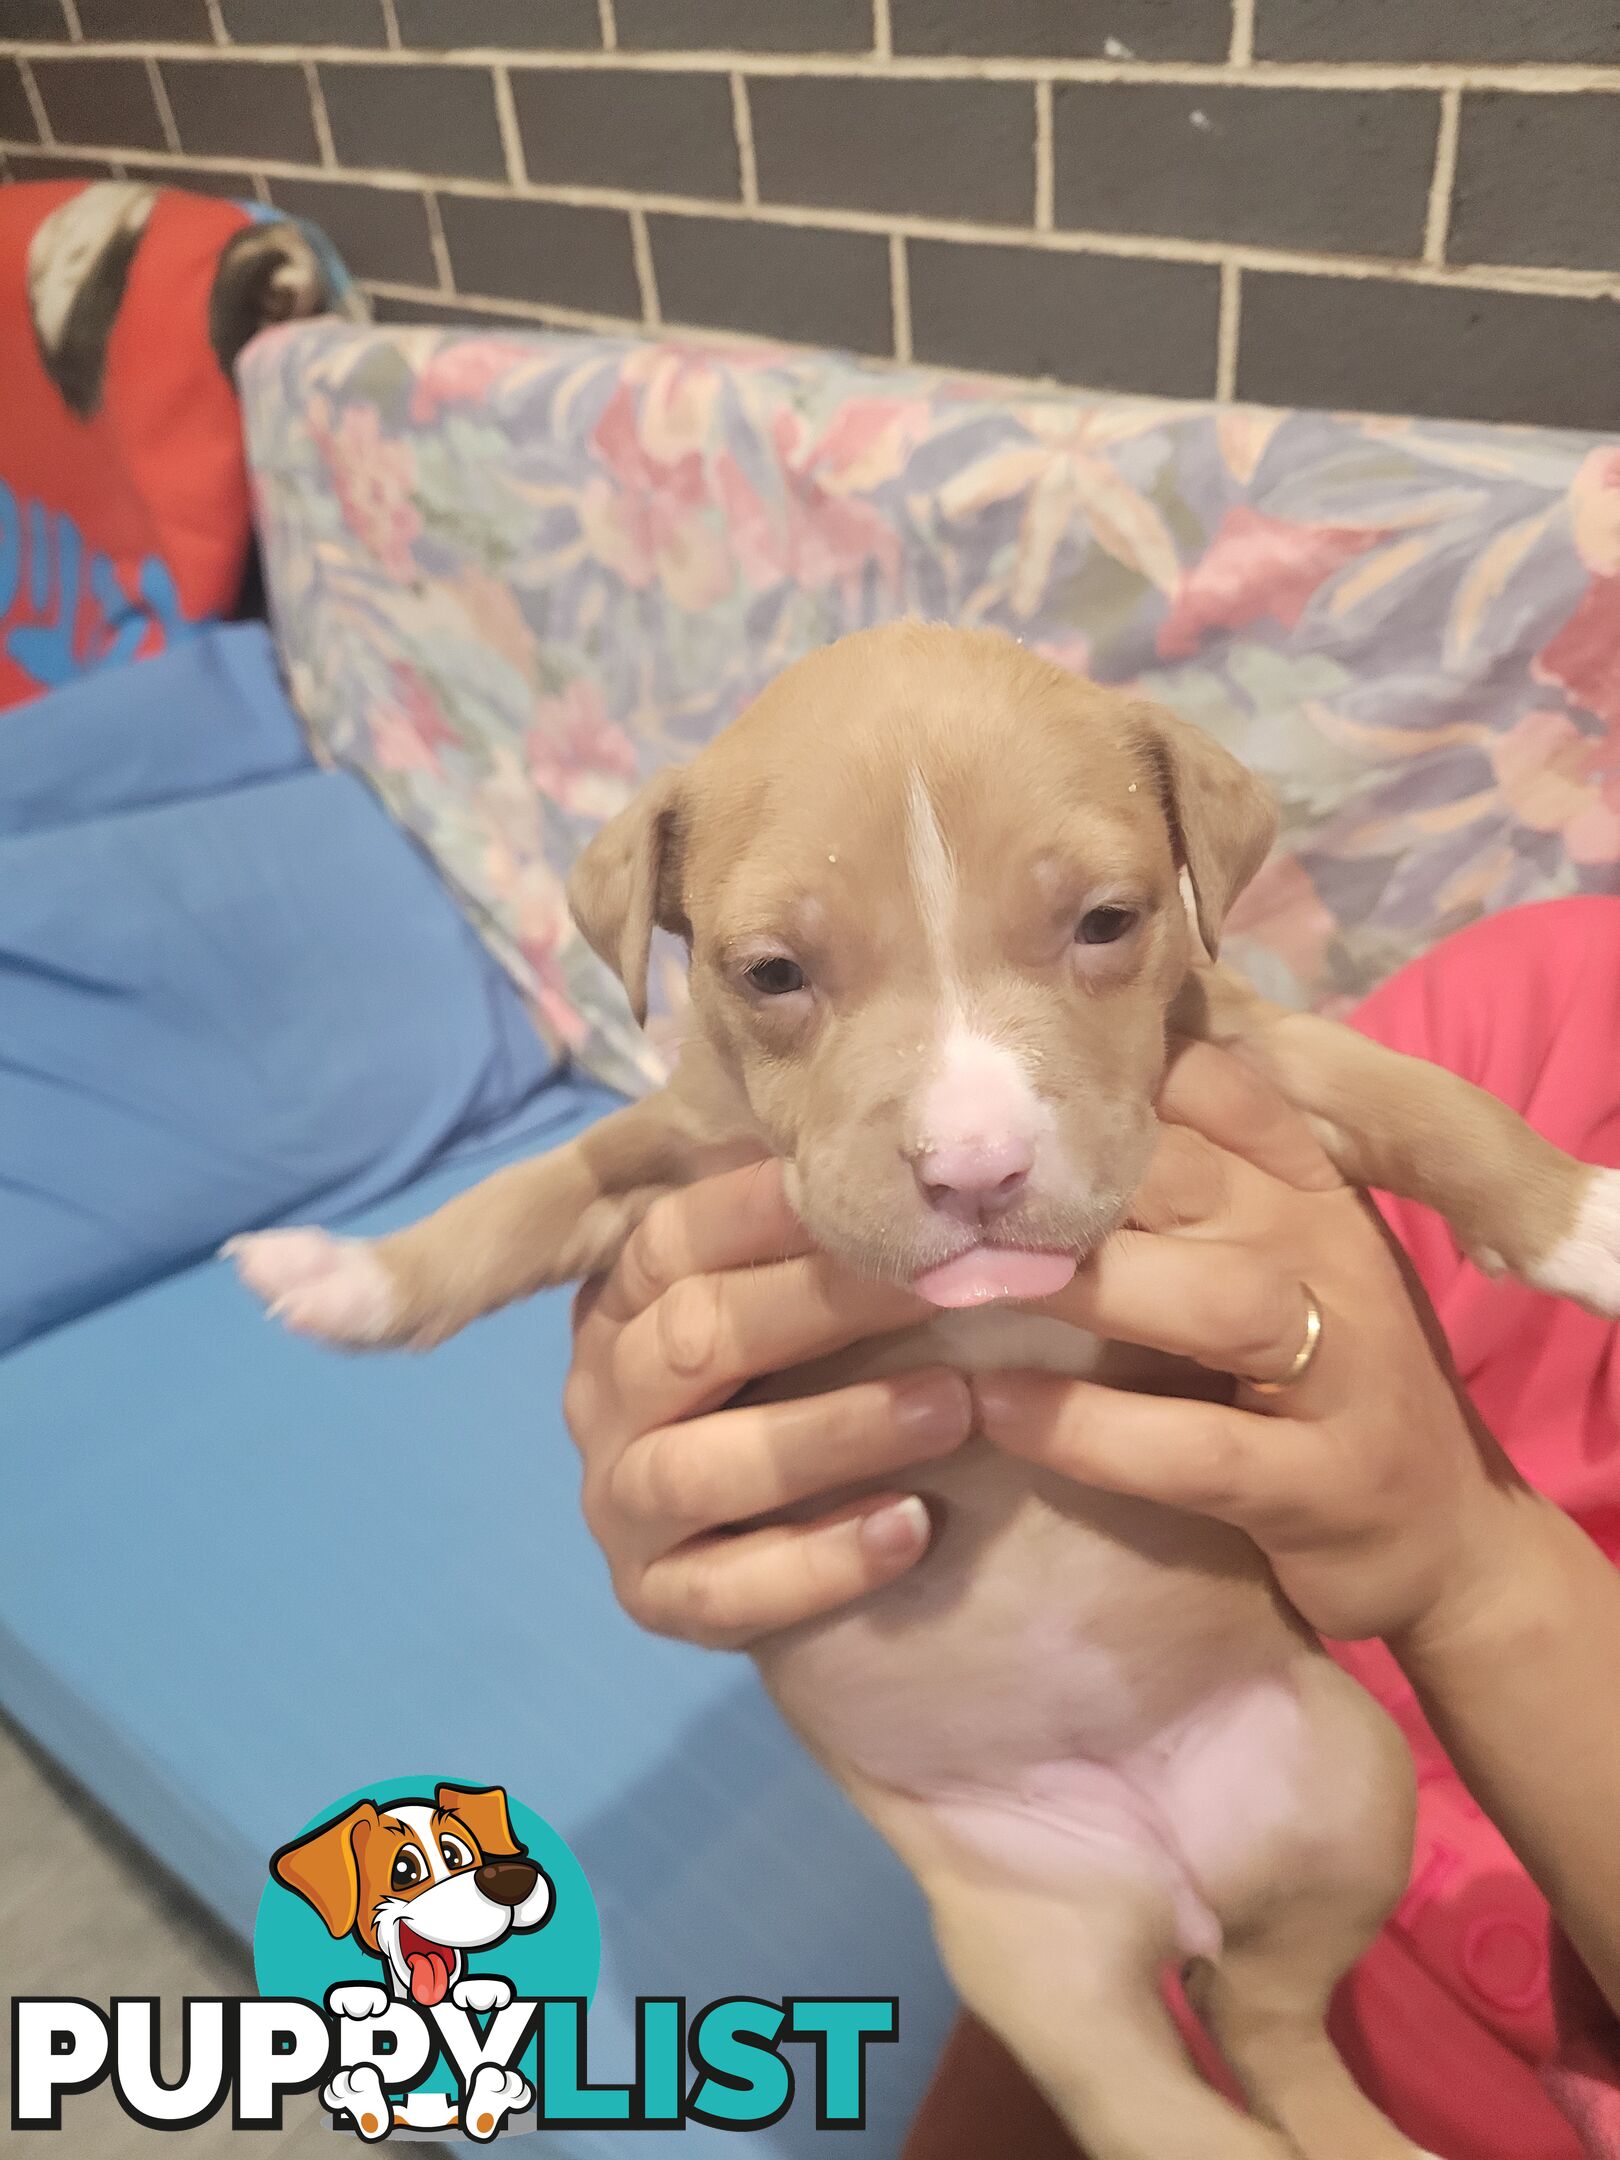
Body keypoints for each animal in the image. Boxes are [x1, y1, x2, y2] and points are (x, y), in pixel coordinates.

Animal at [231, 617, 1620, 2151]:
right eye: (771, 973)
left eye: (1109, 924)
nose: (976, 1169)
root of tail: (1175, 1882)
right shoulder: (669, 1154)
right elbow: (524, 1198)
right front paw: (352, 1278)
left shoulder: (1244, 1042)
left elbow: (1421, 1100)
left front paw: (1585, 1225)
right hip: (1042, 1968)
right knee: (1193, 2076)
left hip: (1353, 1788)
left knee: (1273, 2029)